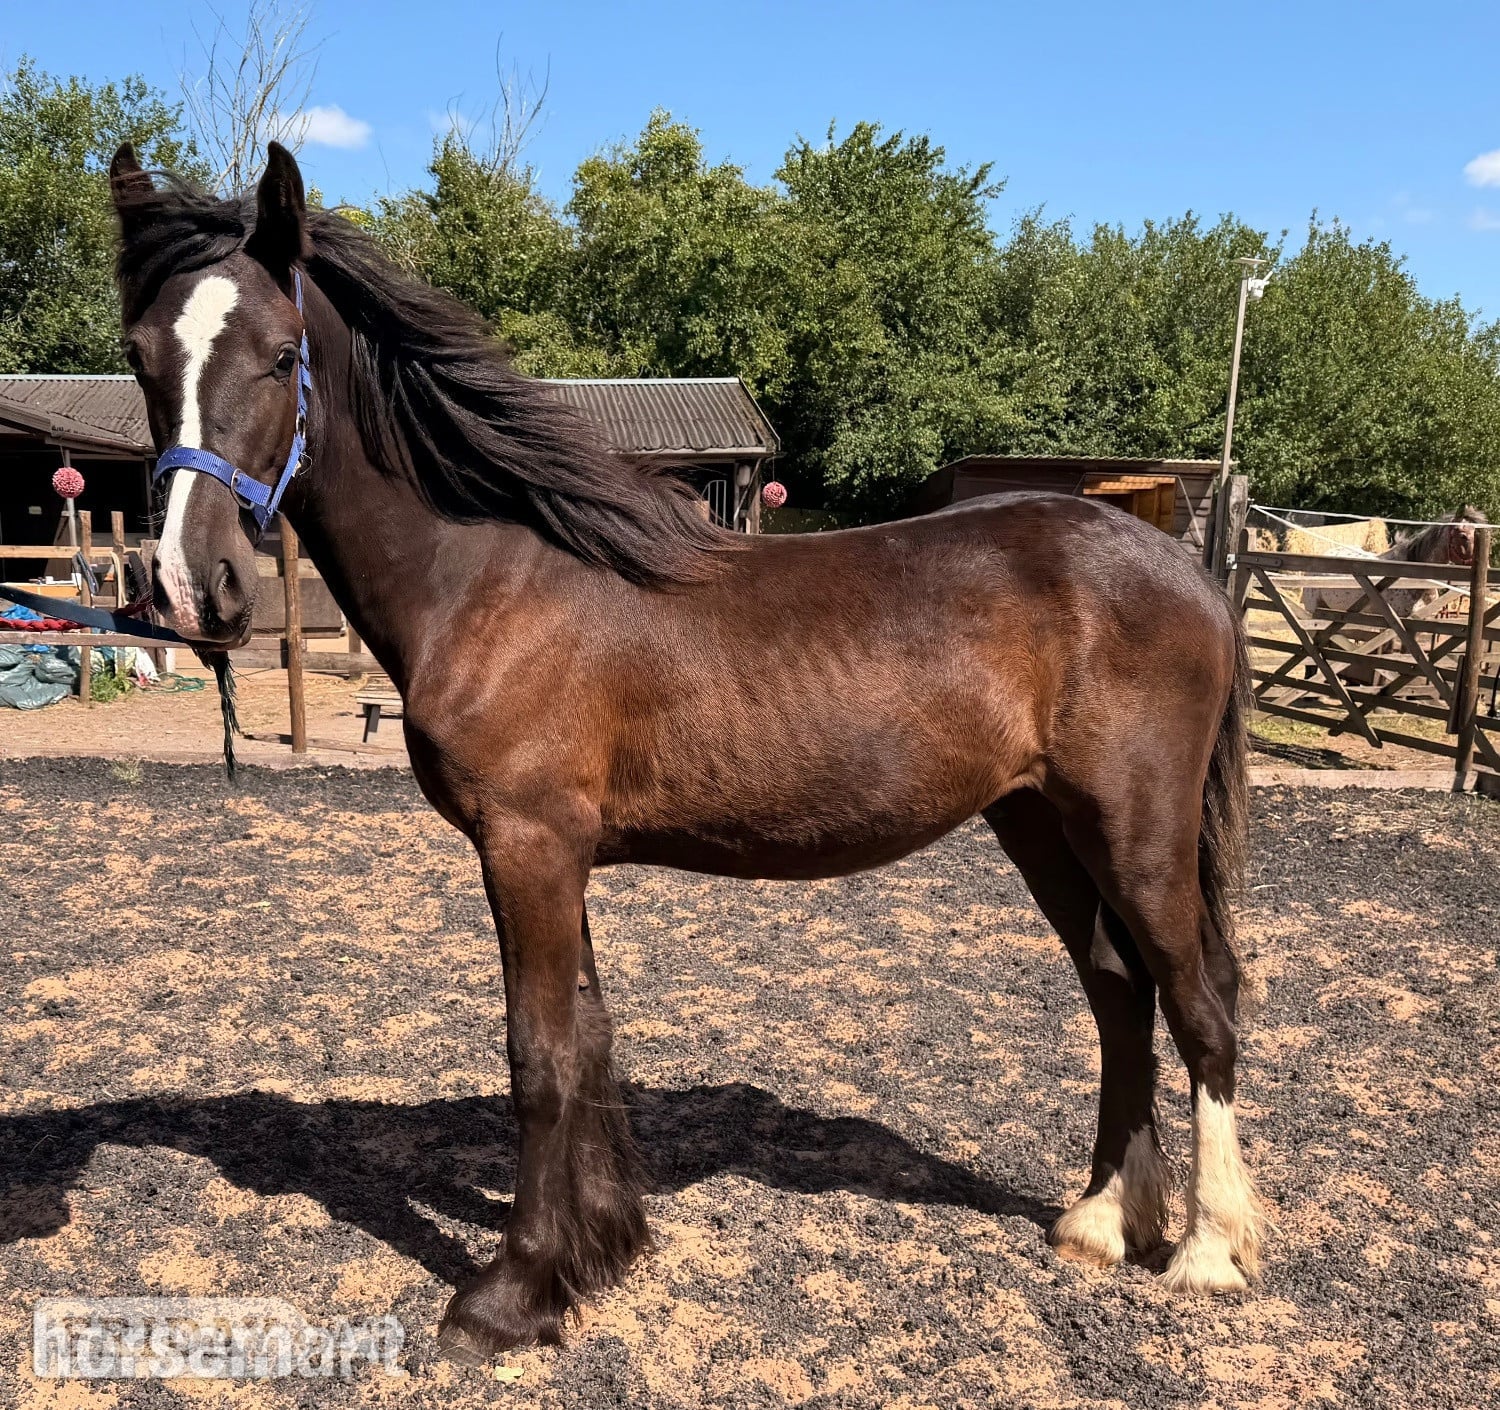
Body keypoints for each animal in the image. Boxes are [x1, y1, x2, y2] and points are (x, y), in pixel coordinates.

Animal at [105, 141, 1262, 1362]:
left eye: (283, 354)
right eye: (140, 357)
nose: (190, 586)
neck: (492, 577)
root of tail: (1184, 568)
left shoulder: (527, 847)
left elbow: (538, 1058)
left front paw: (508, 1295)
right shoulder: (556, 855)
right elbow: (589, 1042)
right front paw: (598, 1253)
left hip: (1134, 827)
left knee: (1201, 1001)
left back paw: (1207, 1249)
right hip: (1041, 820)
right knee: (1119, 994)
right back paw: (1103, 1221)